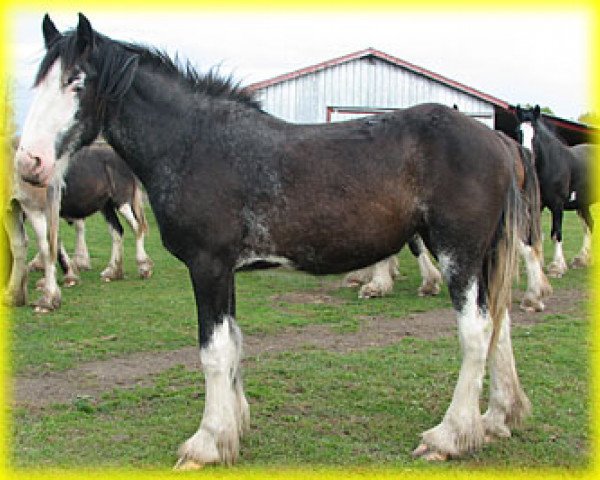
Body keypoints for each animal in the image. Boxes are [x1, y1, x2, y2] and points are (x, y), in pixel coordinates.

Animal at [17, 13, 536, 466]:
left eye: (76, 83)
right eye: (38, 83)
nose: (29, 163)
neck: (195, 145)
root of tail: (499, 142)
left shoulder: (207, 265)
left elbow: (212, 351)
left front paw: (206, 443)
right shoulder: (224, 270)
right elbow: (233, 344)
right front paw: (233, 427)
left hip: (457, 256)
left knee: (476, 333)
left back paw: (449, 436)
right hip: (484, 258)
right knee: (501, 324)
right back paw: (496, 418)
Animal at [516, 105, 596, 278]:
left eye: (535, 133)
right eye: (519, 131)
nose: (527, 159)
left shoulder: (557, 205)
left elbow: (556, 233)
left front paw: (556, 267)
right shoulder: (537, 205)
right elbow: (537, 234)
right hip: (583, 204)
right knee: (589, 225)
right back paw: (582, 259)